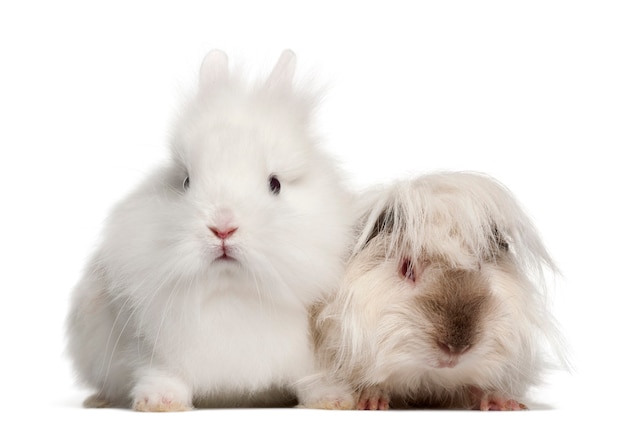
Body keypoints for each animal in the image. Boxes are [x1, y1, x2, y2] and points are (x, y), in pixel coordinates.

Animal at [67, 50, 356, 410]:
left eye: (274, 184)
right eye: (186, 181)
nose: (222, 228)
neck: (229, 293)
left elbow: (313, 376)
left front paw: (332, 399)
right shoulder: (151, 347)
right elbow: (160, 372)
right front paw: (160, 402)